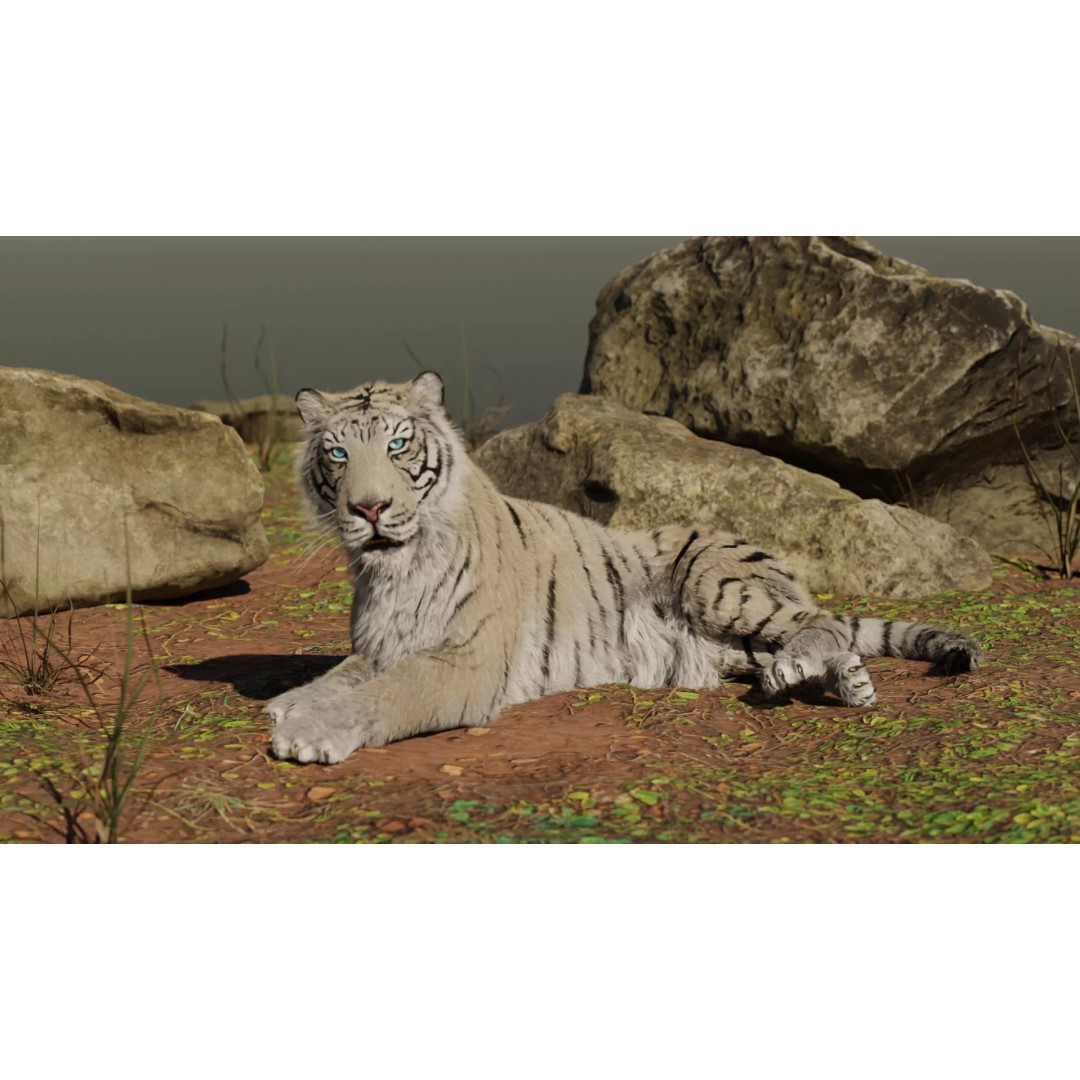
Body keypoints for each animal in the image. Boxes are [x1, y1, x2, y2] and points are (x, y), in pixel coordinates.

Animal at [267, 371, 982, 764]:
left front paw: (309, 734)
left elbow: (387, 695)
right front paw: (288, 707)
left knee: (826, 619)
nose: (369, 508)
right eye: (336, 453)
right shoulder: (380, 646)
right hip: (729, 641)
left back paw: (813, 675)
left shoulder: (466, 661)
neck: (393, 569)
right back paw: (838, 680)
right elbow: (336, 678)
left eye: (397, 444)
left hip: (715, 584)